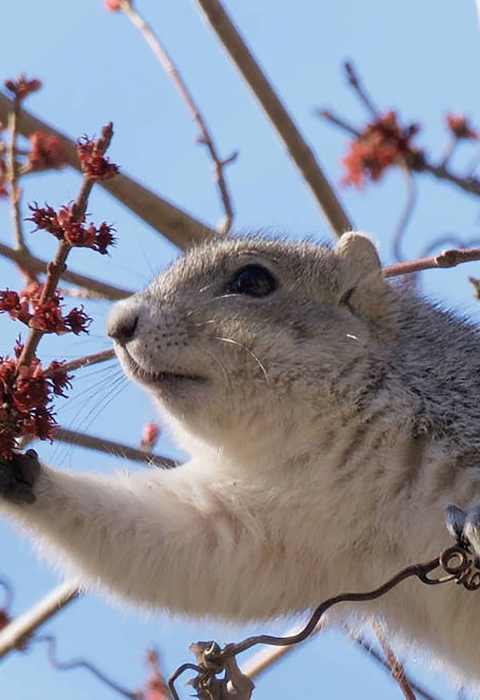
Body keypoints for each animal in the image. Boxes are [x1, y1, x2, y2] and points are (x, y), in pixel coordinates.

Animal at [1, 232, 480, 683]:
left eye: (253, 282)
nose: (117, 324)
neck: (338, 453)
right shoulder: (274, 530)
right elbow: (185, 548)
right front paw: (22, 475)